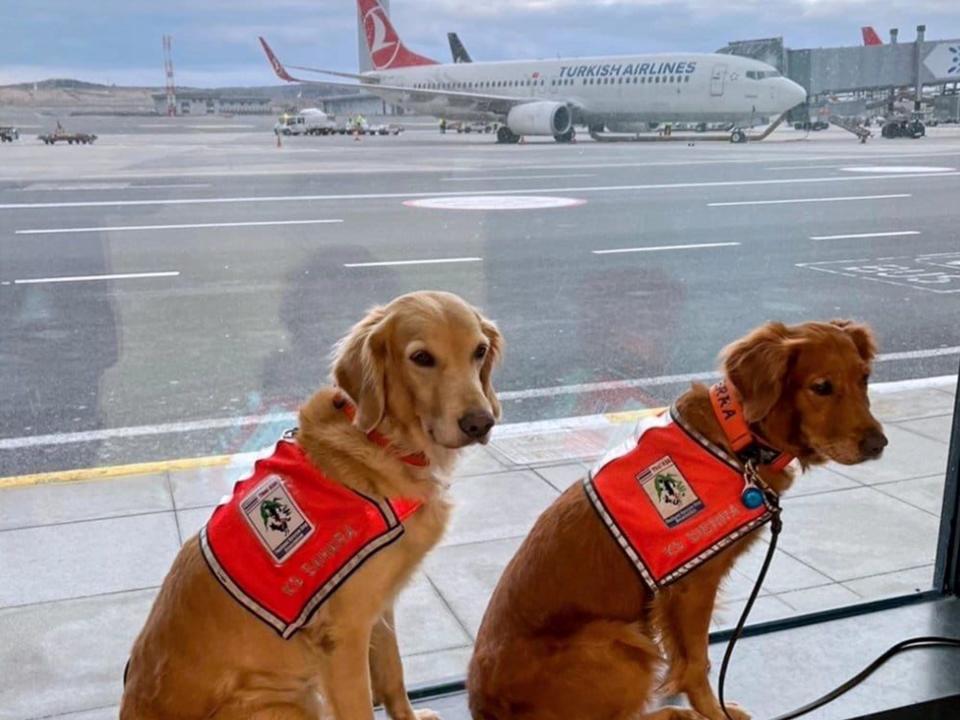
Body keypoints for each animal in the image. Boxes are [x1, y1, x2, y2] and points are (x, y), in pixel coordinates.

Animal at [122, 292, 502, 720]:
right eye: (421, 358)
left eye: (479, 351)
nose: (480, 423)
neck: (385, 442)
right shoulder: (345, 633)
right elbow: (360, 705)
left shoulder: (379, 607)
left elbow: (393, 673)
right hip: (289, 700)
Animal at [464, 320, 884, 720]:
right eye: (821, 387)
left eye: (864, 377)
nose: (879, 445)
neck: (741, 442)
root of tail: (484, 707)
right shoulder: (691, 588)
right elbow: (697, 662)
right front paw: (713, 711)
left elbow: (685, 659)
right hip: (622, 642)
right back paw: (676, 714)